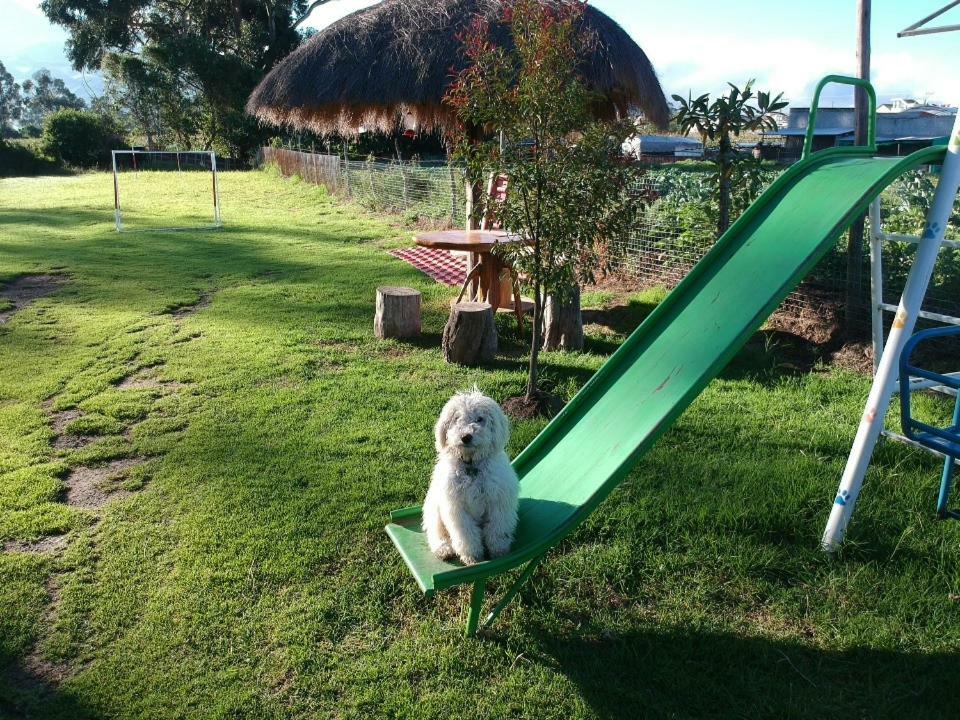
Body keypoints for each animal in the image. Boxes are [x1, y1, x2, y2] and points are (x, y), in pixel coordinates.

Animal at [426, 388, 520, 564]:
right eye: (457, 419)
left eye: (480, 419)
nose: (466, 437)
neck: (471, 466)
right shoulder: (456, 510)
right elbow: (466, 535)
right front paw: (472, 556)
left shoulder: (498, 503)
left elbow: (498, 529)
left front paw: (499, 550)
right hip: (435, 513)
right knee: (436, 534)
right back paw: (444, 549)